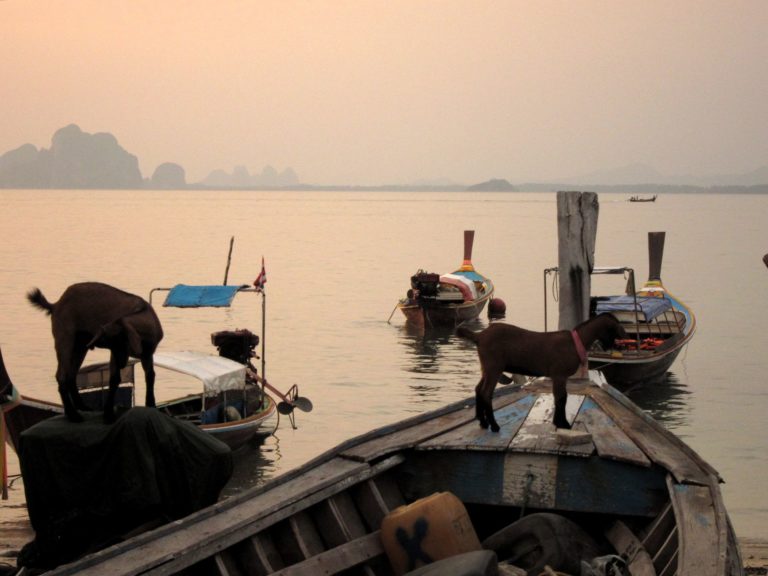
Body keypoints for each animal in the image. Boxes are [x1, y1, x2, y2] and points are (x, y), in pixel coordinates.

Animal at [27, 282, 163, 420]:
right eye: (112, 345)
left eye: (123, 342)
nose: (121, 364)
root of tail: (56, 304)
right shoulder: (114, 356)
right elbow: (114, 379)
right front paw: (108, 414)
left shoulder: (147, 355)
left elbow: (150, 376)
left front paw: (151, 405)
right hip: (65, 341)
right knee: (61, 376)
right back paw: (72, 414)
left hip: (80, 347)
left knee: (71, 375)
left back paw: (82, 406)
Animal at [456, 316, 624, 432]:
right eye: (615, 331)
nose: (614, 347)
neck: (577, 342)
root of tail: (479, 336)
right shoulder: (559, 374)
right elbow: (561, 398)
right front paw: (563, 424)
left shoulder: (558, 377)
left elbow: (559, 397)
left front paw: (558, 422)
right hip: (494, 367)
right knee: (486, 393)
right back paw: (494, 426)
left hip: (486, 367)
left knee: (478, 389)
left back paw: (483, 422)